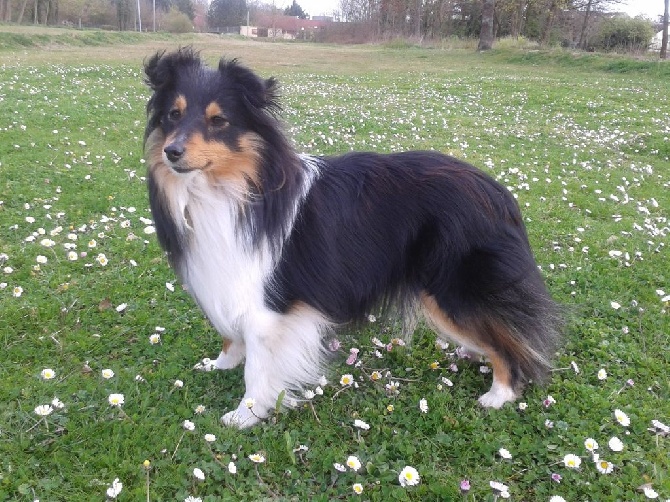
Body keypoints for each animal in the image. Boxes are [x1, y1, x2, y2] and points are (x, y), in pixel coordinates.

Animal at [144, 48, 564, 428]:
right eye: (173, 115)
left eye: (219, 121)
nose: (172, 151)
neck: (231, 188)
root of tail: (499, 193)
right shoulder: (226, 276)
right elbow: (230, 335)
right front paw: (221, 363)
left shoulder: (268, 304)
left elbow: (259, 368)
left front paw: (245, 414)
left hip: (452, 291)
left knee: (508, 341)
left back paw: (500, 392)